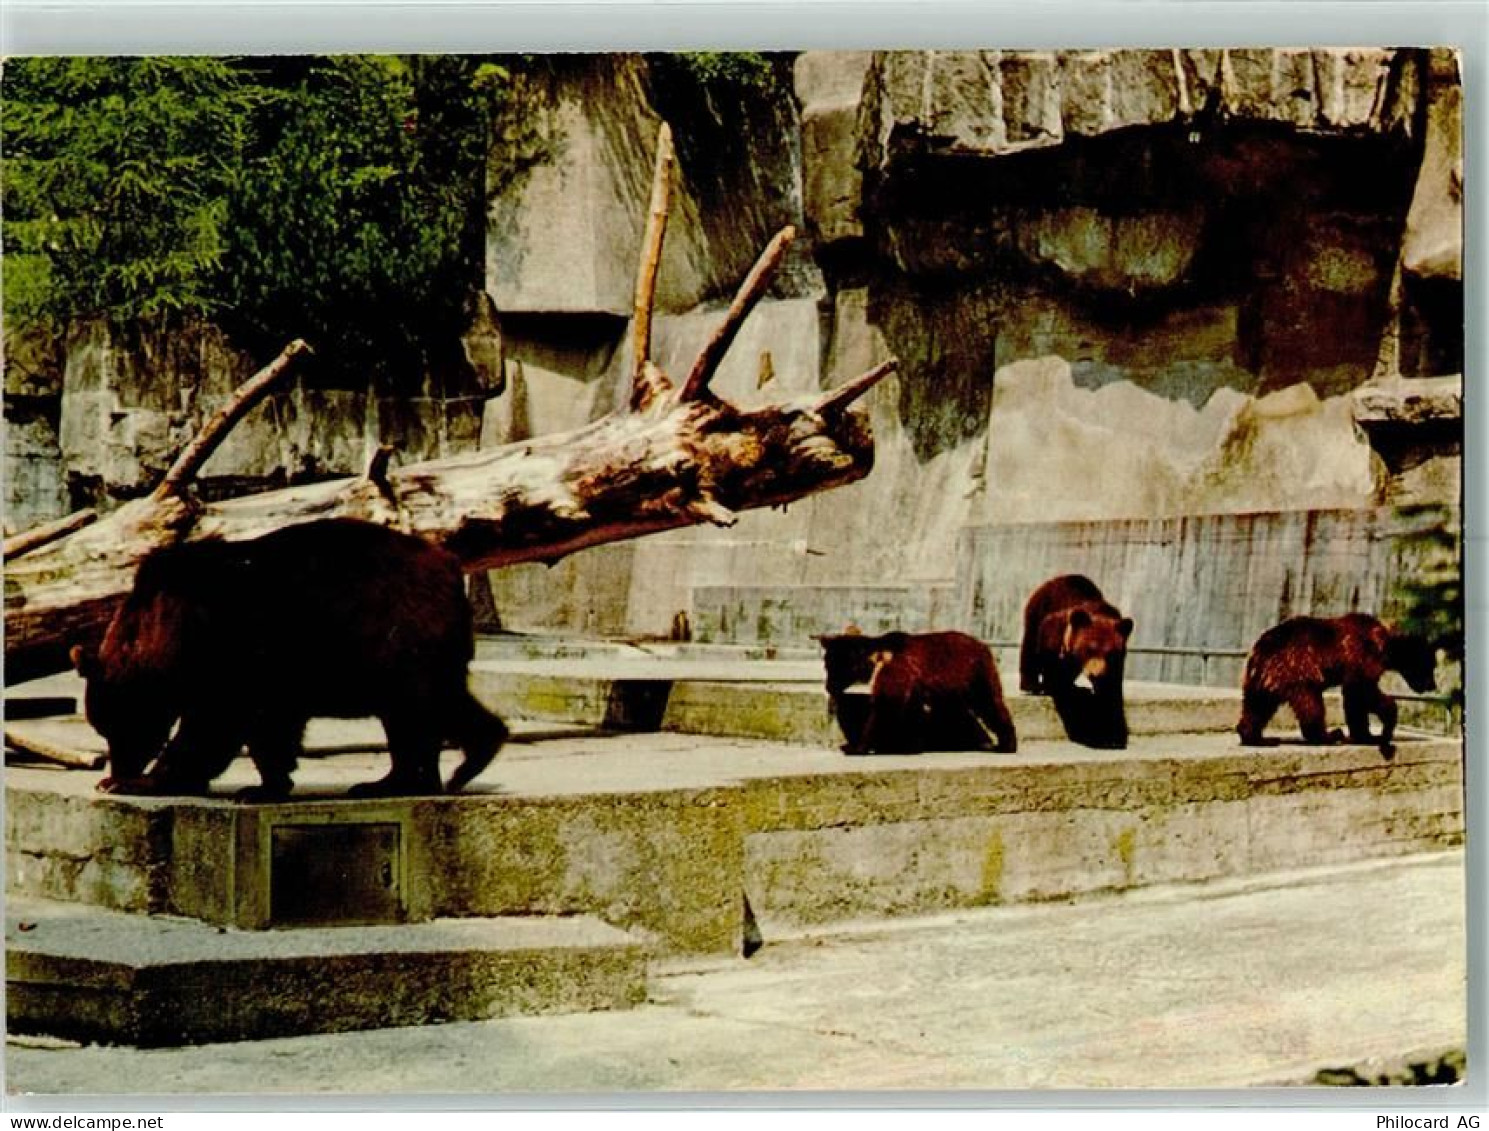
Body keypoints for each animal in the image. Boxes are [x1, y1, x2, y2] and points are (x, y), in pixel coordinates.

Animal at [70, 517, 508, 800]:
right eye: (104, 729)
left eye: (121, 727)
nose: (118, 767)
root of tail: (449, 565)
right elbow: (267, 728)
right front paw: (268, 782)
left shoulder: (230, 644)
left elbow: (219, 723)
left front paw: (148, 781)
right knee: (424, 711)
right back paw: (409, 776)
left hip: (398, 636)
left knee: (420, 708)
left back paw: (450, 766)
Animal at [817, 630, 1017, 756]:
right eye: (826, 665)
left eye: (834, 667)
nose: (828, 686)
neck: (876, 662)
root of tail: (984, 645)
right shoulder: (912, 684)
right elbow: (910, 713)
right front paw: (910, 744)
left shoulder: (895, 672)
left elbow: (885, 708)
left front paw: (859, 746)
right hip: (953, 689)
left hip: (975, 675)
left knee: (990, 702)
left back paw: (1006, 744)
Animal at [1019, 574, 1134, 750]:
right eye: (1090, 649)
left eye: (1111, 653)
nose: (1096, 674)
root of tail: (1059, 577)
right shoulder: (1055, 633)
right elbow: (1056, 679)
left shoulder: (1115, 664)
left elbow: (1112, 690)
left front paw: (1113, 736)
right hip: (1037, 610)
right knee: (1030, 646)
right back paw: (1033, 685)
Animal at [1236, 613, 1437, 758]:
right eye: (1430, 666)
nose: (1432, 685)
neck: (1386, 647)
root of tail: (1261, 649)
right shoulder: (1361, 656)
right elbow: (1361, 691)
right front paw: (1381, 730)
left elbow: (1354, 699)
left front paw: (1366, 735)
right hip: (1298, 669)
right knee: (1310, 703)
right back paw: (1329, 735)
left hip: (1261, 681)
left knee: (1257, 706)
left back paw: (1257, 737)